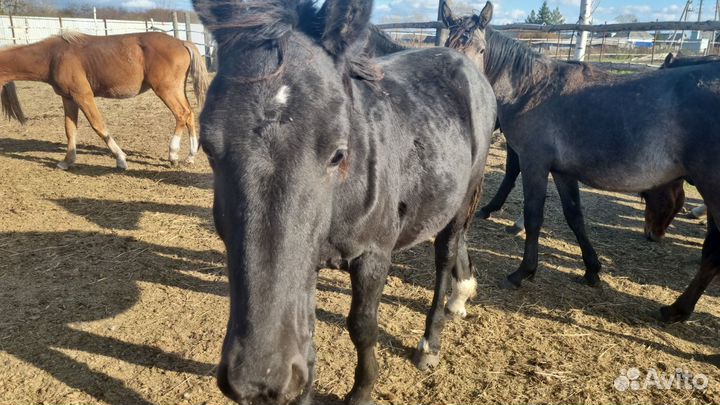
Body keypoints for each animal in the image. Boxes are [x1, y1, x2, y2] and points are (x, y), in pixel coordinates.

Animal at [0, 31, 209, 169]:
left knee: (182, 114)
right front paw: (67, 161)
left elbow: (98, 126)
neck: (54, 56)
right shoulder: (68, 98)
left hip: (166, 90)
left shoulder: (83, 95)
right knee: (190, 114)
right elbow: (70, 130)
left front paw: (121, 159)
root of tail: (182, 42)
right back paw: (190, 157)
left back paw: (173, 154)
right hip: (177, 89)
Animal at [193, 0, 496, 403]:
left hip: (464, 195)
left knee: (445, 255)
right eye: (208, 147)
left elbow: (362, 326)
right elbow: (307, 338)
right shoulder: (305, 268)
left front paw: (363, 389)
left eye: (338, 153)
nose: (261, 379)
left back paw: (430, 342)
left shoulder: (373, 256)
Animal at [443, 1, 720, 323]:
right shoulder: (563, 172)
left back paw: (677, 308)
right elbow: (575, 216)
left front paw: (523, 271)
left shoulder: (534, 163)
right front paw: (592, 269)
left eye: (481, 49)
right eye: (448, 44)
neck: (531, 89)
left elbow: (534, 216)